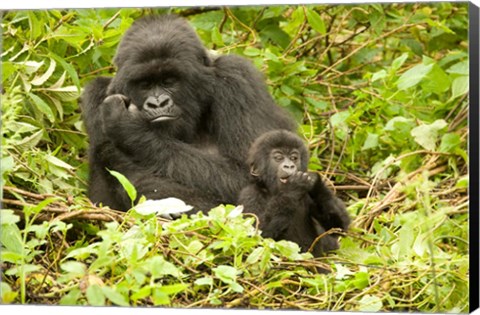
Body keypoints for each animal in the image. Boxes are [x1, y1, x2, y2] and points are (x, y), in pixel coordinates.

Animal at [80, 14, 294, 212]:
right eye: (145, 84)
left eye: (169, 81)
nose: (158, 103)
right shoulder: (96, 93)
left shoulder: (237, 77)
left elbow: (247, 176)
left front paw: (131, 128)